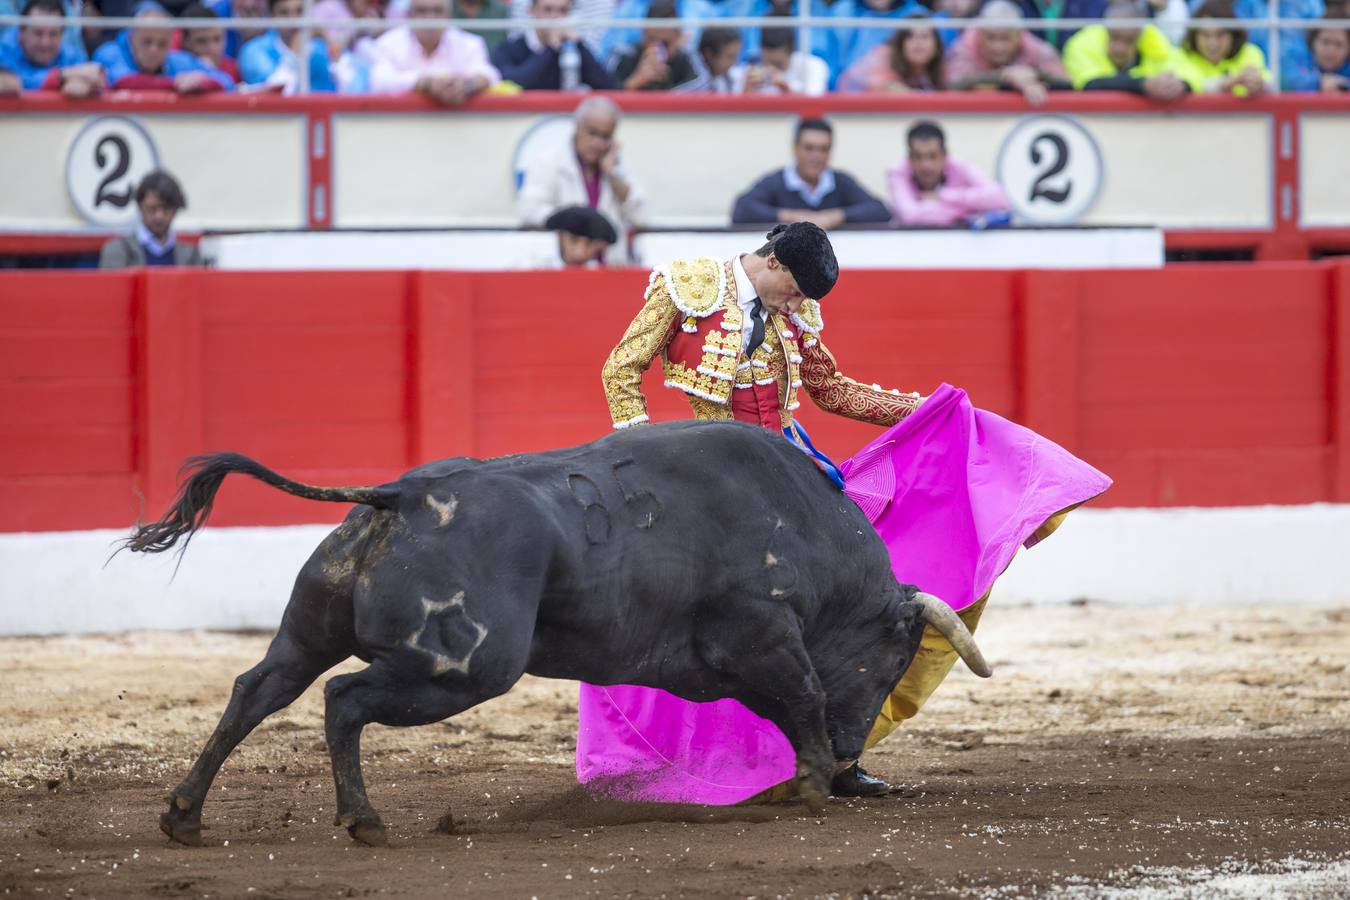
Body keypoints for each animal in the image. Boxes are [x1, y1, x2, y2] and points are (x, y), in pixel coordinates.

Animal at [124, 418, 993, 847]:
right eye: (893, 660)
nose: (853, 761)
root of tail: (400, 495)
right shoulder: (764, 633)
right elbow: (805, 694)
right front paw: (811, 784)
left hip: (310, 629)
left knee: (256, 691)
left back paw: (183, 816)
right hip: (463, 667)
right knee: (342, 699)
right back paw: (364, 821)